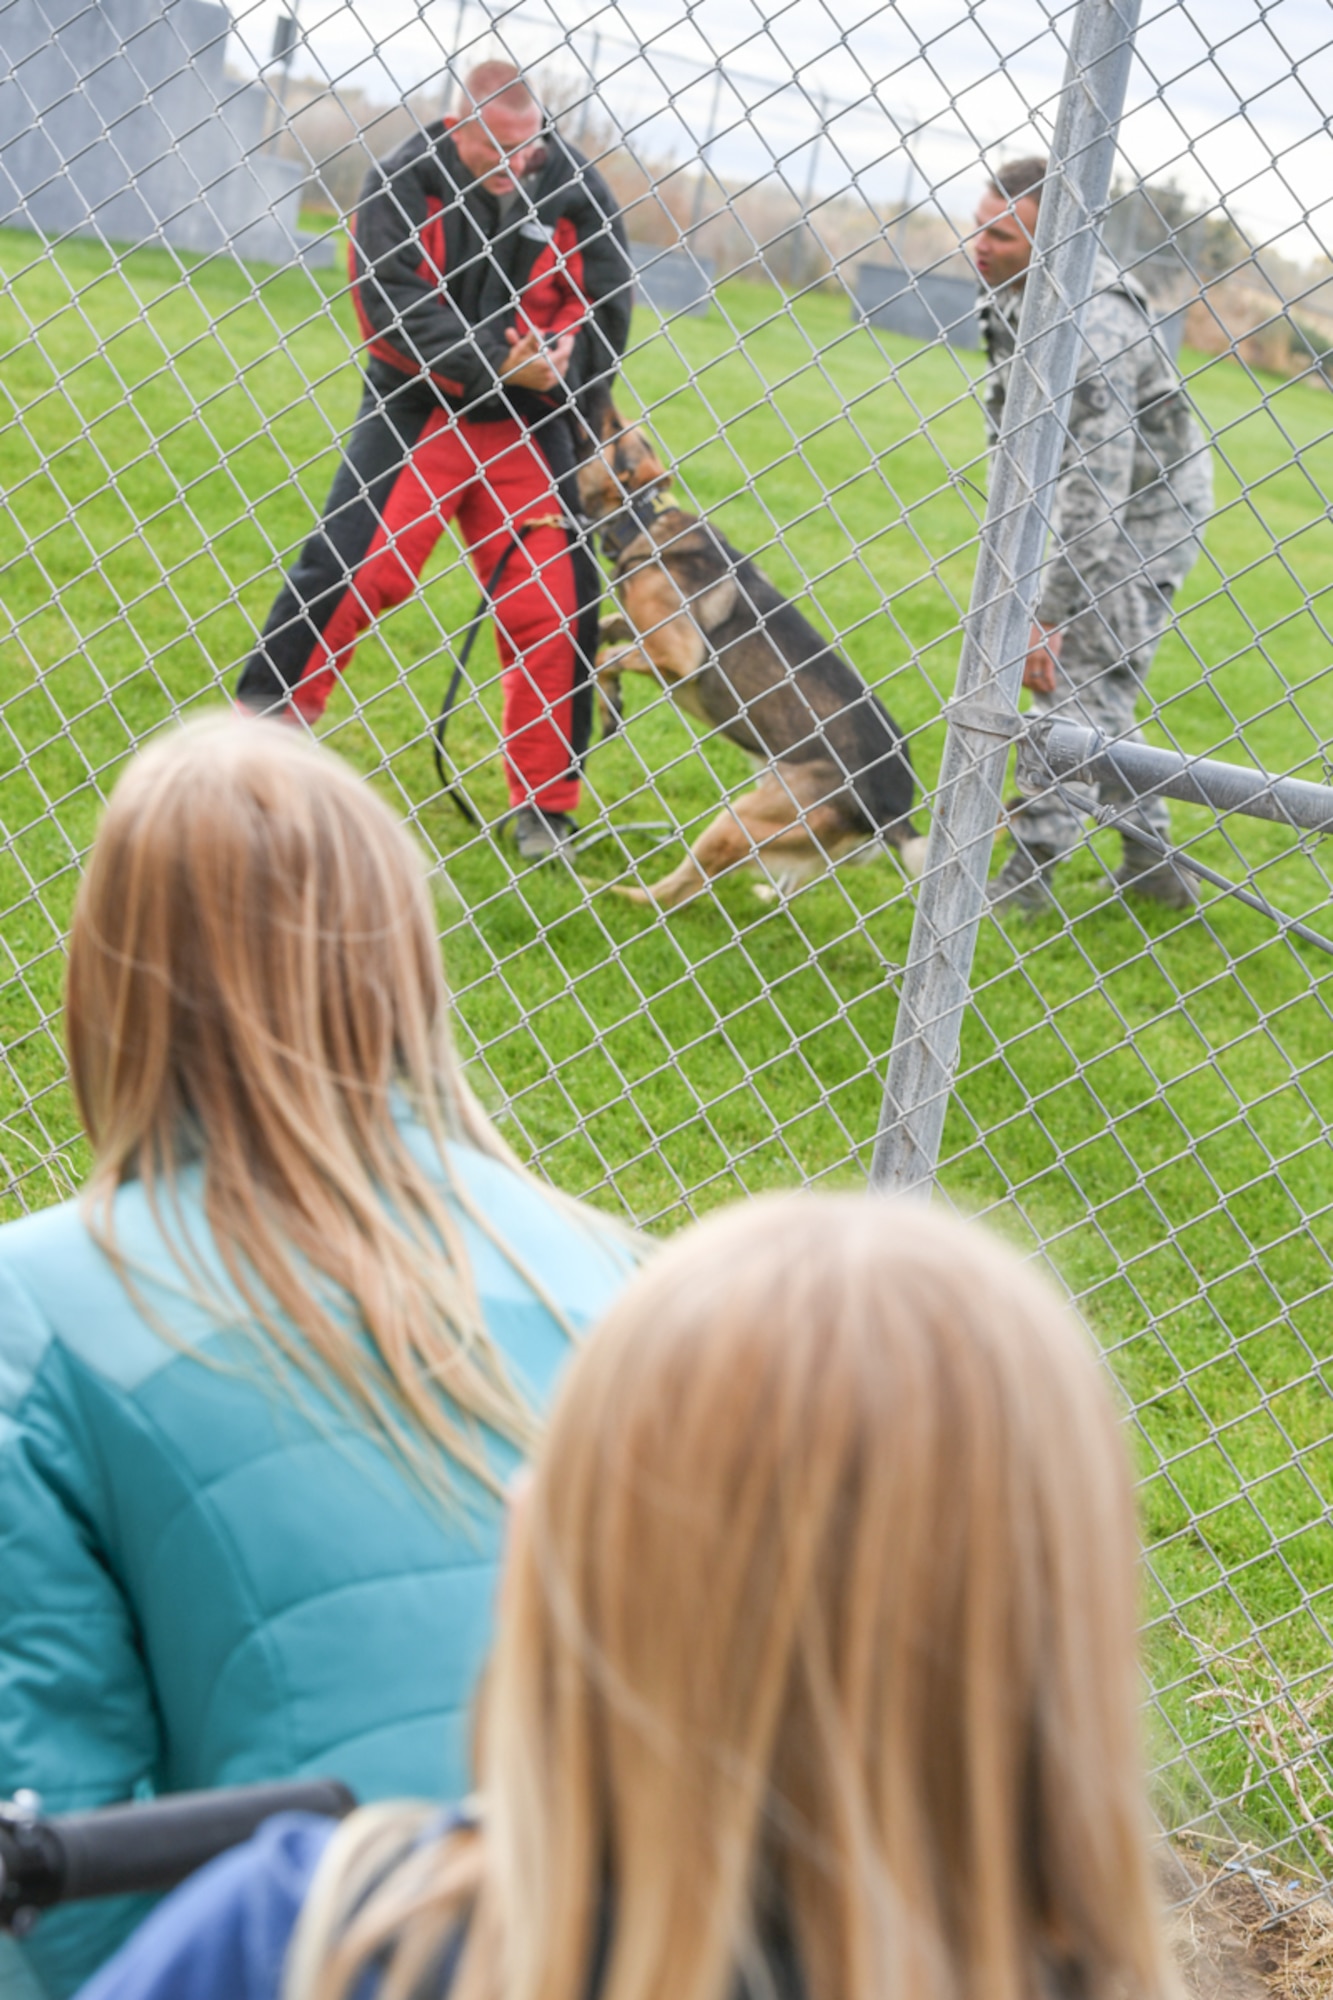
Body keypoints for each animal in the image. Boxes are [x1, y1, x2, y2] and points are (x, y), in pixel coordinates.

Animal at [572, 400, 924, 916]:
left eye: (614, 429)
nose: (601, 399)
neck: (643, 520)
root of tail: (895, 813)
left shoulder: (680, 655)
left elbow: (608, 656)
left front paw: (610, 701)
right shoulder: (641, 632)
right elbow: (607, 634)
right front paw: (605, 693)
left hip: (738, 822)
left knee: (679, 891)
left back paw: (616, 893)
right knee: (785, 883)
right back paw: (765, 894)